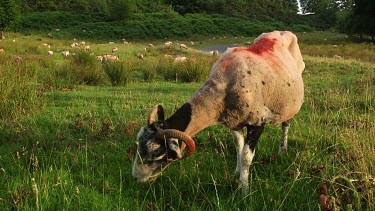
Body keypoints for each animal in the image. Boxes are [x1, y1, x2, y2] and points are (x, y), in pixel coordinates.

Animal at [132, 30, 306, 194]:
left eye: (157, 153)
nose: (136, 178)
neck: (225, 84)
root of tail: (279, 32)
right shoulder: (234, 121)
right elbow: (238, 146)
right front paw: (237, 173)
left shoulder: (257, 122)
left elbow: (246, 156)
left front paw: (244, 190)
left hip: (290, 104)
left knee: (286, 125)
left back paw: (282, 150)